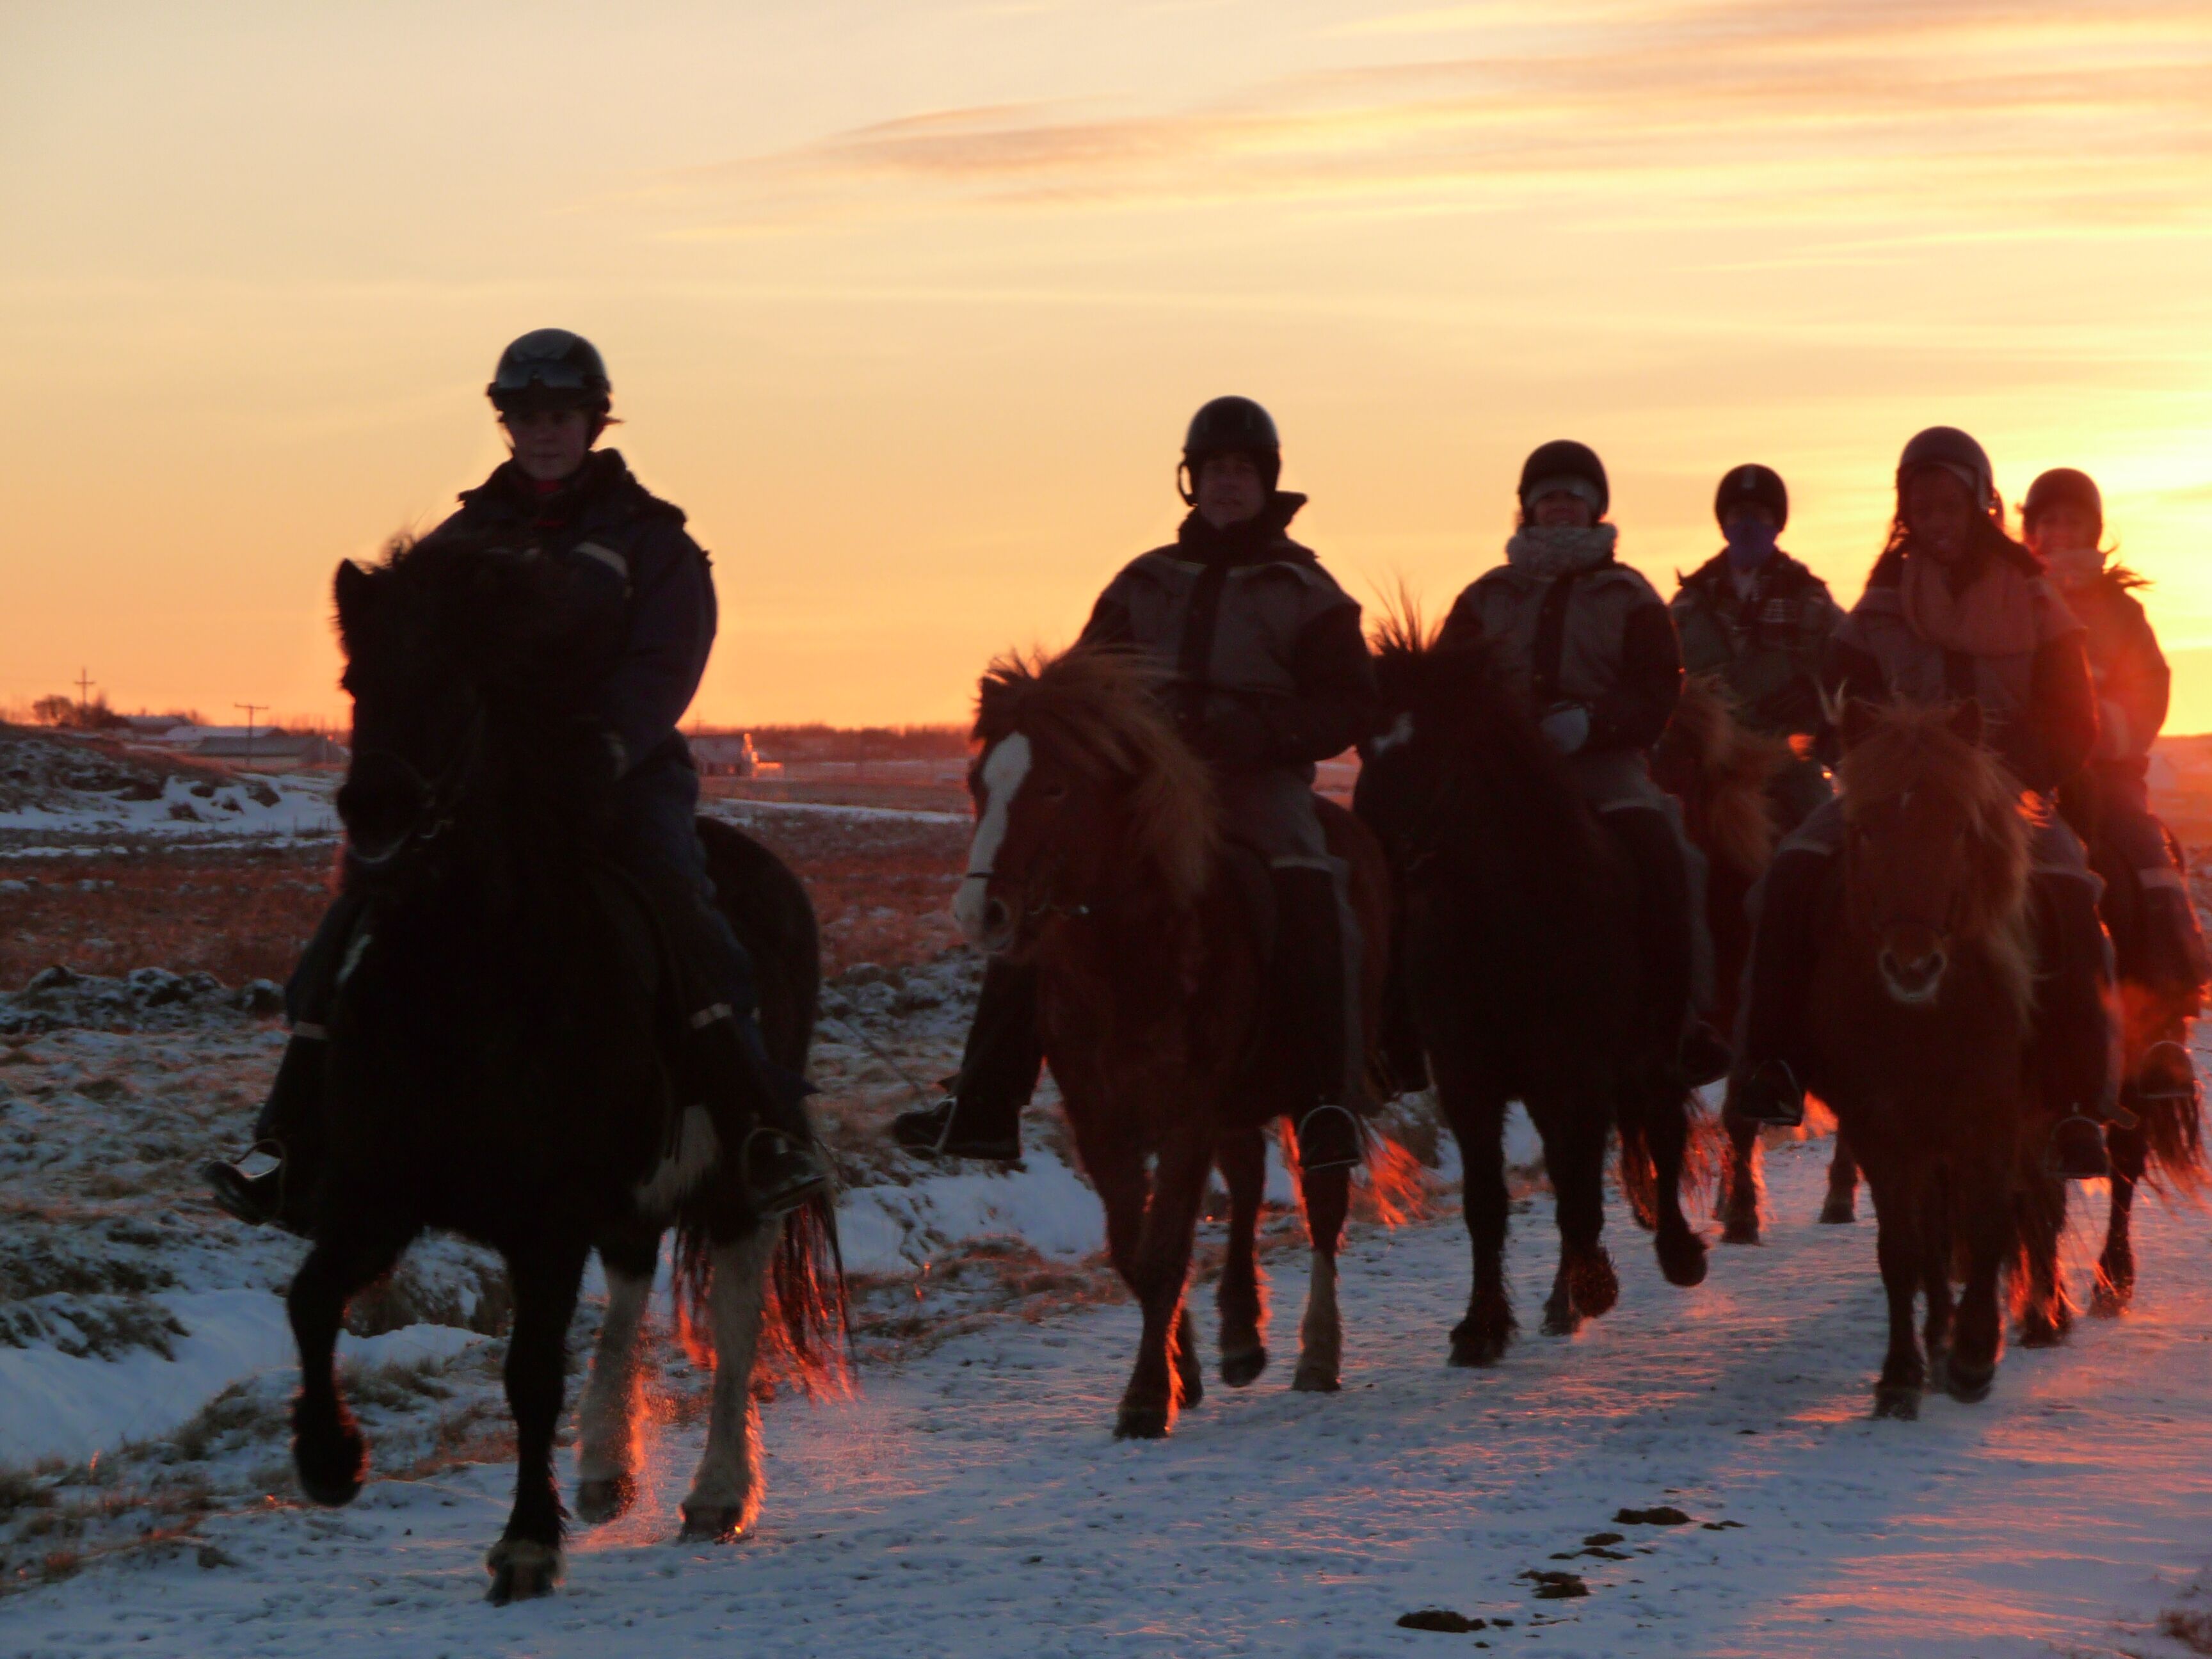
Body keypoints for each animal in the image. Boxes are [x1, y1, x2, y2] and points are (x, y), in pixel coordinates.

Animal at [289, 540, 840, 1601]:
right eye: (353, 681)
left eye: (459, 684)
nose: (372, 814)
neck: (464, 977)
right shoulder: (376, 1195)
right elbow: (309, 1300)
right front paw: (330, 1460)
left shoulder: (543, 1218)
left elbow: (530, 1373)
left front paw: (525, 1545)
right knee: (628, 1289)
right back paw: (605, 1470)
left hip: (734, 1176)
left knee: (736, 1310)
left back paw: (716, 1494)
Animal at [947, 646, 1380, 1442]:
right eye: (977, 783)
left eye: (1055, 785)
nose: (979, 913)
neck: (1129, 957)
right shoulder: (1100, 1117)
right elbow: (1133, 1249)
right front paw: (1183, 1369)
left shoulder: (1186, 1112)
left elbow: (1166, 1246)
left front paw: (1148, 1395)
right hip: (1238, 1102)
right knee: (1247, 1184)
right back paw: (1239, 1336)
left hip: (1314, 1087)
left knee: (1323, 1207)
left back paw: (1317, 1353)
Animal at [1796, 699, 2053, 1415]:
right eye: (1865, 830)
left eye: (1960, 828)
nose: (1913, 965)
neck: (1925, 1023)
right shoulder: (1880, 1127)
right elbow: (1903, 1248)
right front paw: (1902, 1372)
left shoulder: (1993, 1121)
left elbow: (1992, 1224)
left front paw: (1974, 1356)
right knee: (1935, 1234)